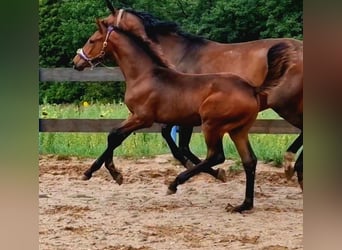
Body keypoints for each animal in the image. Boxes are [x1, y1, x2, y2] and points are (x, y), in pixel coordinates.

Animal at [73, 18, 296, 212]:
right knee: (249, 161)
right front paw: (96, 172)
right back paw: (243, 205)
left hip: (212, 125)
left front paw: (111, 173)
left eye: (91, 40)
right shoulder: (134, 116)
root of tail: (252, 89)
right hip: (238, 130)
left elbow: (113, 136)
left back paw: (175, 183)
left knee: (216, 156)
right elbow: (114, 137)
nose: (76, 62)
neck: (145, 75)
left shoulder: (142, 118)